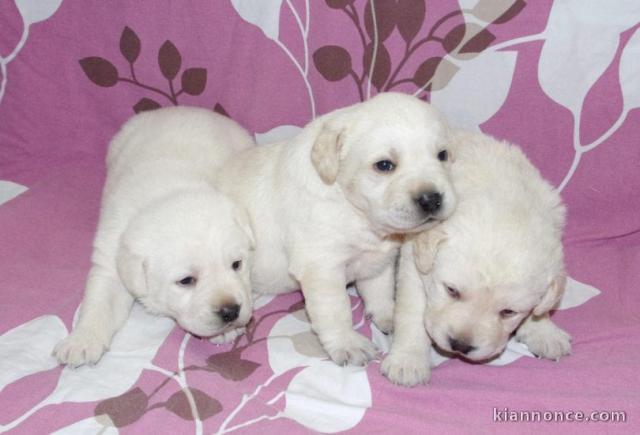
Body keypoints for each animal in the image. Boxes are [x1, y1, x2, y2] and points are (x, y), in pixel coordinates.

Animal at [54, 106, 255, 368]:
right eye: (186, 280)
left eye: (237, 264)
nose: (230, 311)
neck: (169, 191)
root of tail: (179, 109)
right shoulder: (110, 256)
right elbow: (99, 302)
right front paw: (82, 340)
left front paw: (225, 332)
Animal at [218, 93, 458, 366]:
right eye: (384, 165)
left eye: (442, 155)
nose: (431, 199)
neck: (353, 209)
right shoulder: (323, 268)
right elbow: (336, 311)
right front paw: (348, 344)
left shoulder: (378, 260)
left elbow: (380, 290)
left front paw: (388, 316)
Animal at [382, 131, 572, 386]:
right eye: (451, 290)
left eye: (508, 312)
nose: (460, 345)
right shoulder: (415, 260)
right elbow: (412, 313)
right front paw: (407, 361)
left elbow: (541, 308)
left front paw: (544, 332)